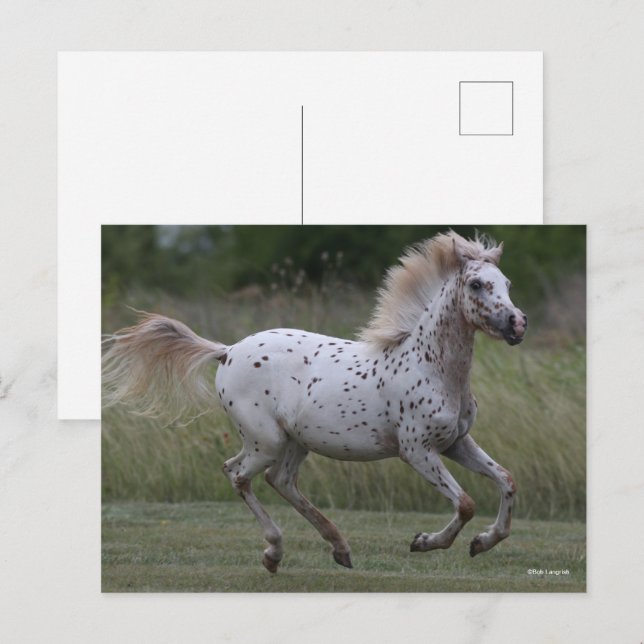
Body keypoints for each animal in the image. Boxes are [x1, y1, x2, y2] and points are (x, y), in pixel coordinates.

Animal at [102, 231, 527, 573]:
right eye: (476, 284)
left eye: (506, 282)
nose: (517, 324)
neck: (430, 366)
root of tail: (227, 351)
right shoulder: (417, 451)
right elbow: (466, 503)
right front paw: (425, 543)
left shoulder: (456, 443)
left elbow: (506, 480)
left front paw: (482, 542)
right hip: (267, 441)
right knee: (238, 474)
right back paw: (274, 553)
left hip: (295, 442)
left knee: (279, 481)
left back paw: (338, 549)